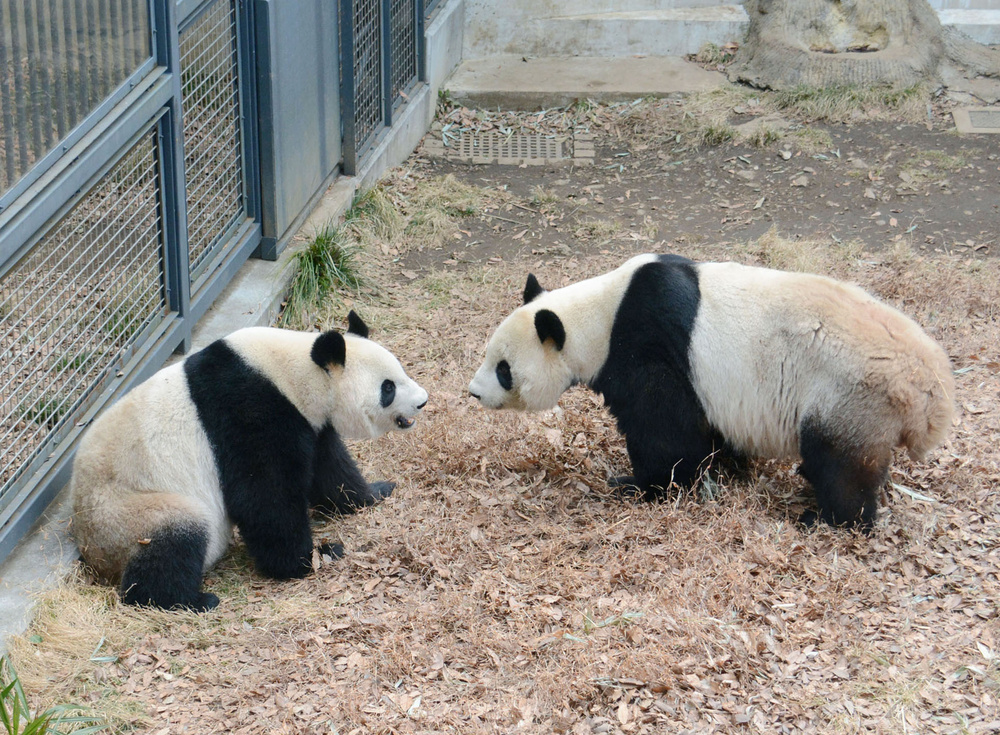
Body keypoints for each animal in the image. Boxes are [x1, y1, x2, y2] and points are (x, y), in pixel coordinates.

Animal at [66, 312, 426, 616]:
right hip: (123, 512)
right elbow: (264, 495)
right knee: (174, 535)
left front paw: (375, 492)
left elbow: (330, 467)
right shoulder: (249, 412)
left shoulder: (309, 421)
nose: (422, 401)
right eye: (388, 387)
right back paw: (188, 600)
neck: (295, 372)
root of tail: (95, 558)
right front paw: (308, 558)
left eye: (400, 372)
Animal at [468, 256, 952, 532]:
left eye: (504, 369)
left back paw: (825, 519)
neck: (599, 315)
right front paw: (730, 465)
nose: (473, 393)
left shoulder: (648, 345)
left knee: (841, 464)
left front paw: (639, 485)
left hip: (850, 395)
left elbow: (665, 431)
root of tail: (931, 390)